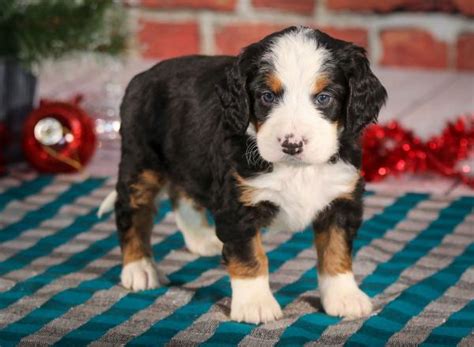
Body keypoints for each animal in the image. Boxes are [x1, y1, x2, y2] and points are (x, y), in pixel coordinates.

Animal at [105, 26, 386, 326]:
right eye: (267, 96)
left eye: (324, 97)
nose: (292, 144)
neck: (296, 170)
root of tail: (143, 76)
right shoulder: (237, 204)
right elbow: (250, 256)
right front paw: (255, 304)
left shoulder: (341, 199)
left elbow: (336, 249)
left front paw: (344, 297)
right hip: (141, 159)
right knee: (131, 210)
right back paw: (139, 268)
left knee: (182, 193)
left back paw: (201, 239)